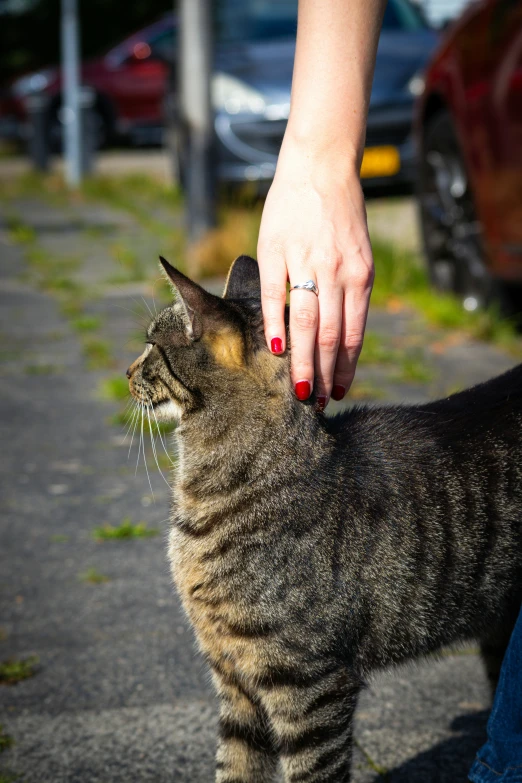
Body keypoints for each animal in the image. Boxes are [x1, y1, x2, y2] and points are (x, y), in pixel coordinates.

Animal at [126, 254, 520, 780]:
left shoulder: (309, 686)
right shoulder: (235, 682)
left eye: (151, 346)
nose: (126, 371)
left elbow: (311, 770)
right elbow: (234, 767)